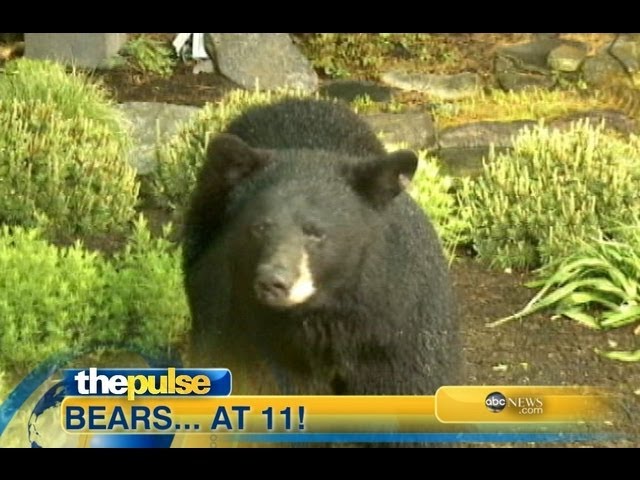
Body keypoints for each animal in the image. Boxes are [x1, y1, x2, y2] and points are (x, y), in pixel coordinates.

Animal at [182, 97, 459, 397]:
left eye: (315, 231)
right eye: (259, 227)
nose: (273, 281)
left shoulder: (396, 327)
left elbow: (413, 380)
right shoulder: (248, 329)